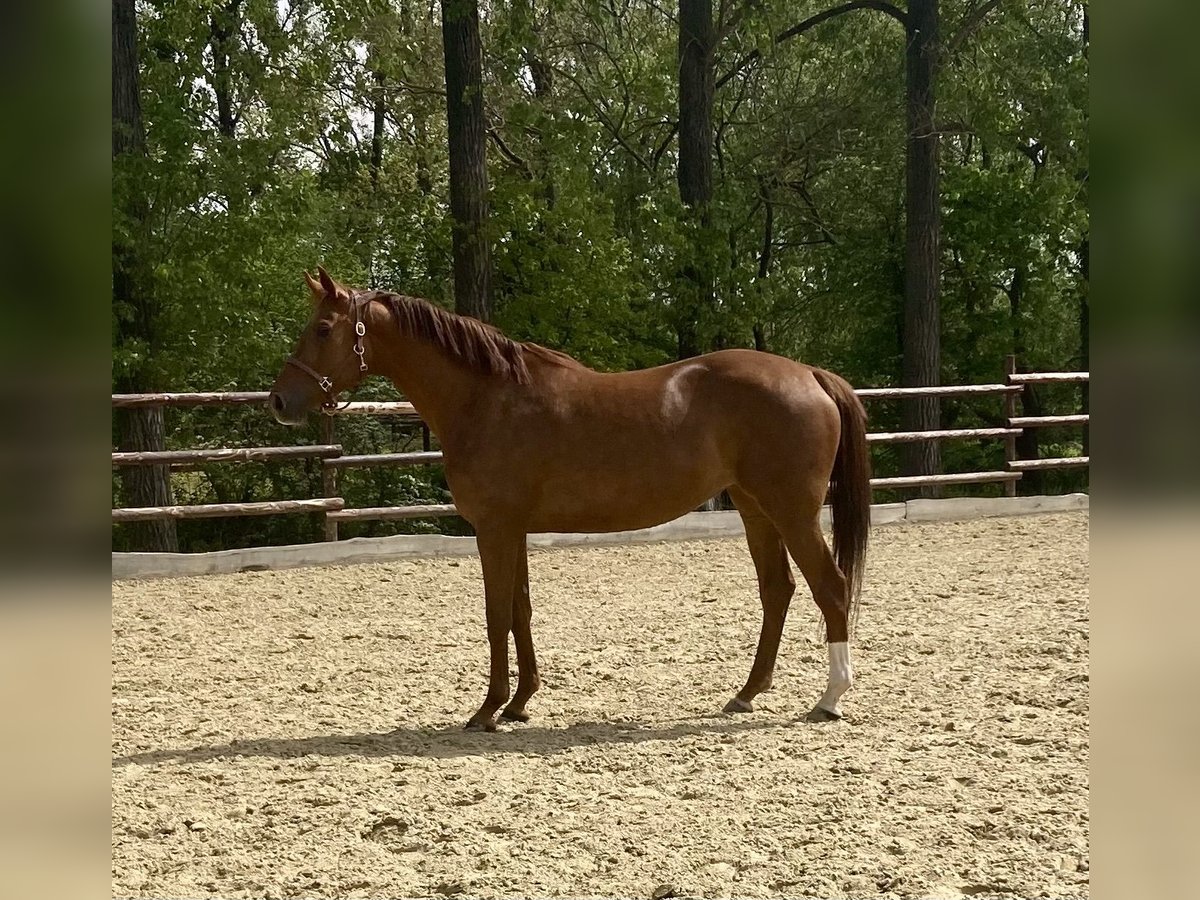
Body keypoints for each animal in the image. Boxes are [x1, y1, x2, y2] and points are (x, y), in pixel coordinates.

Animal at [270, 267, 873, 734]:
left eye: (322, 328)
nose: (278, 401)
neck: (487, 399)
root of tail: (809, 374)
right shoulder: (512, 529)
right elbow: (520, 609)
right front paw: (519, 703)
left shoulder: (494, 529)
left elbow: (496, 612)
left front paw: (487, 709)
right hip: (755, 509)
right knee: (778, 590)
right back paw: (746, 693)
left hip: (792, 512)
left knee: (830, 587)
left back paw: (830, 699)